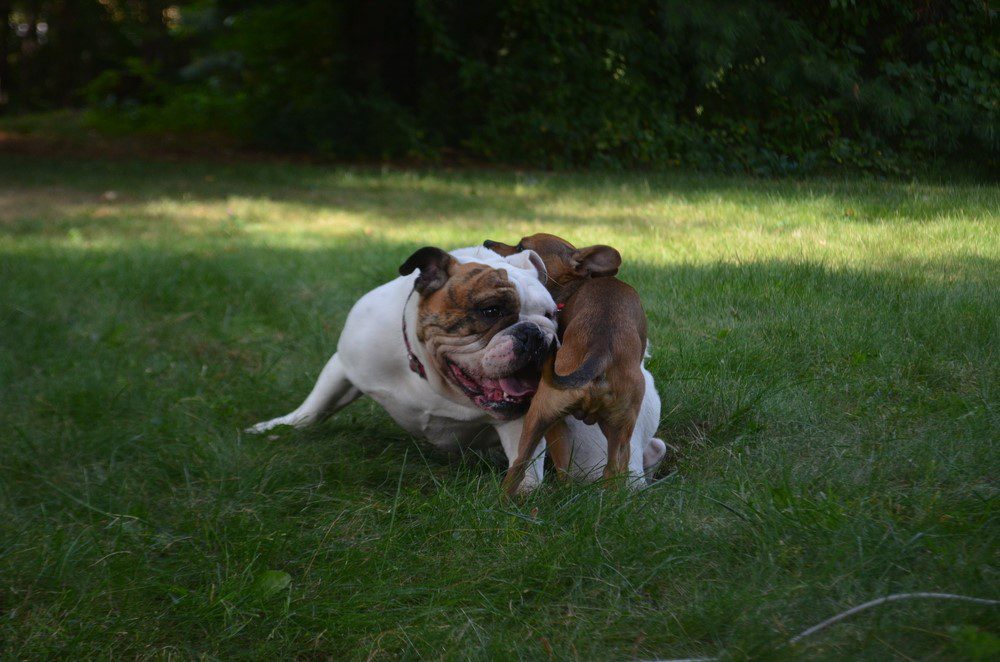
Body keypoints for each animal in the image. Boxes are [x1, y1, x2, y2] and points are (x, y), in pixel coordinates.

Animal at [484, 232, 648, 492]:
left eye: (521, 247)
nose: (487, 242)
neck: (575, 287)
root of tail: (600, 353)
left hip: (543, 418)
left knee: (522, 465)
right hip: (616, 429)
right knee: (612, 470)